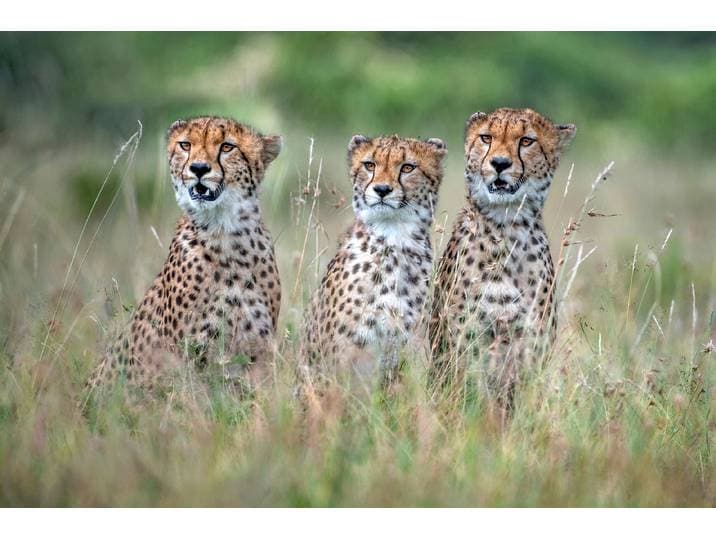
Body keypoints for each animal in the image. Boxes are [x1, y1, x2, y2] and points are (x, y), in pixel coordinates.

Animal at [87, 116, 283, 391]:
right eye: (185, 145)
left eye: (227, 147)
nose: (198, 168)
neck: (225, 230)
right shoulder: (187, 355)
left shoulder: (258, 353)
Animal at [429, 108, 576, 405]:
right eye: (486, 138)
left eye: (527, 141)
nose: (499, 163)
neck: (506, 226)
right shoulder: (467, 345)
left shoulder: (530, 346)